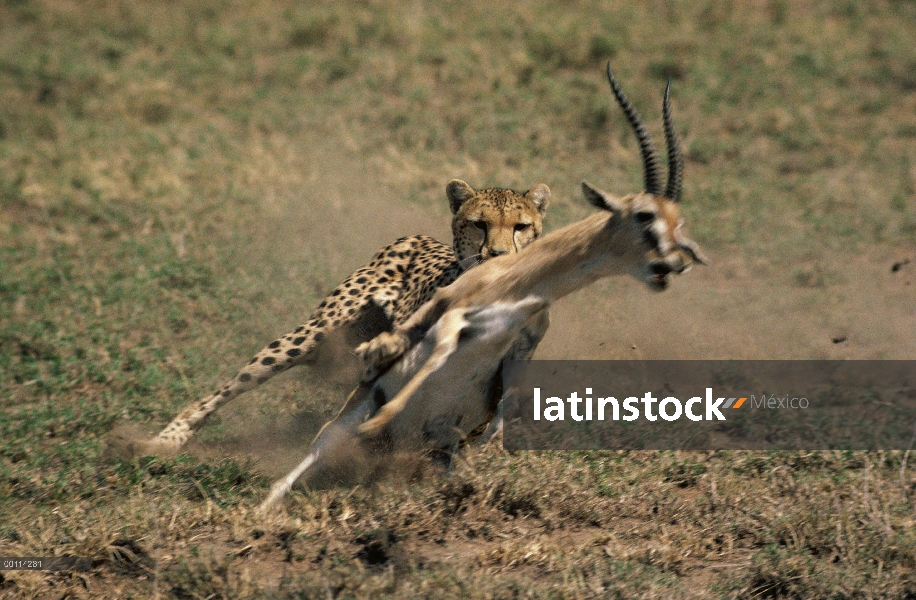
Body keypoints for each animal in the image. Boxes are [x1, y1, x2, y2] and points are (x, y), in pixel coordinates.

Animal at [148, 178, 552, 450]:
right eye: (479, 224)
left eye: (521, 226)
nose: (499, 255)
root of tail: (410, 237)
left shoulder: (512, 359)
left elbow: (493, 411)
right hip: (311, 335)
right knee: (228, 388)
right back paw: (167, 439)